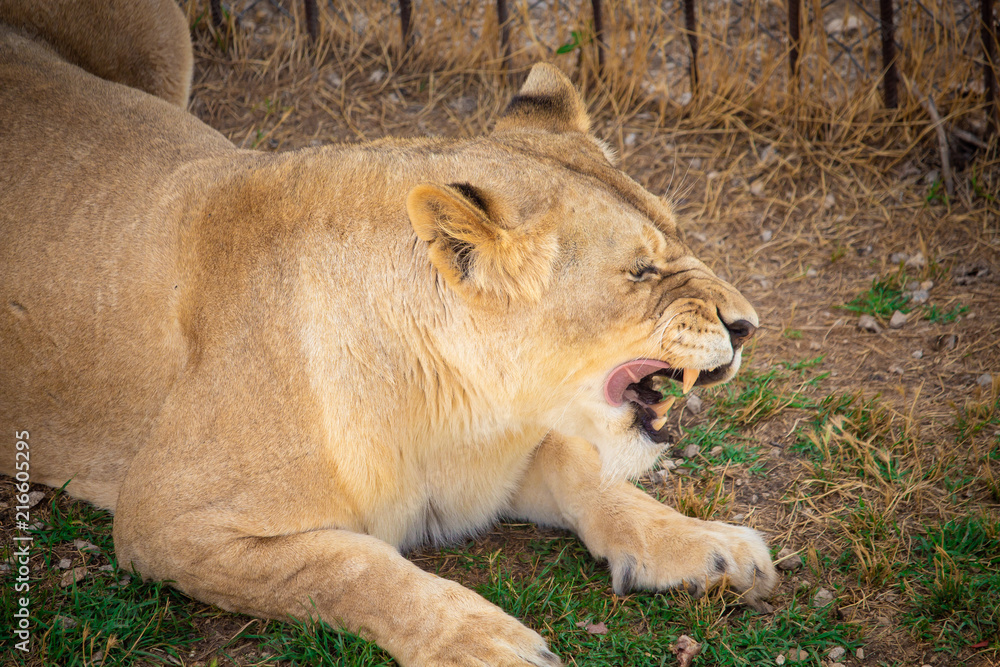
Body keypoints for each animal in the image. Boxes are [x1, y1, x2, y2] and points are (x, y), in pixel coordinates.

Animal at [0, 1, 777, 664]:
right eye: (641, 272)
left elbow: (592, 475)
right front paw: (481, 639)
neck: (463, 409)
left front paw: (705, 544)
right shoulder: (162, 518)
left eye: (677, 231)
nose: (748, 325)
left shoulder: (502, 460)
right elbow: (351, 564)